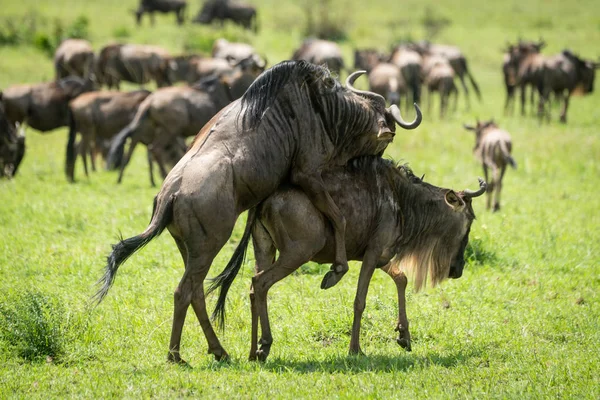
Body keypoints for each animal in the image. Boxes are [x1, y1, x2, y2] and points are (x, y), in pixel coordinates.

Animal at [207, 156, 488, 360]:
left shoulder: (378, 255)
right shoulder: (373, 254)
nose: (457, 270)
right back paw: (265, 345)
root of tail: (263, 200)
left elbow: (401, 279)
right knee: (261, 283)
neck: (403, 199)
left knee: (253, 288)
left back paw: (252, 351)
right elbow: (360, 300)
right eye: (470, 221)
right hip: (297, 252)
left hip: (264, 249)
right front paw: (355, 349)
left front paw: (404, 336)